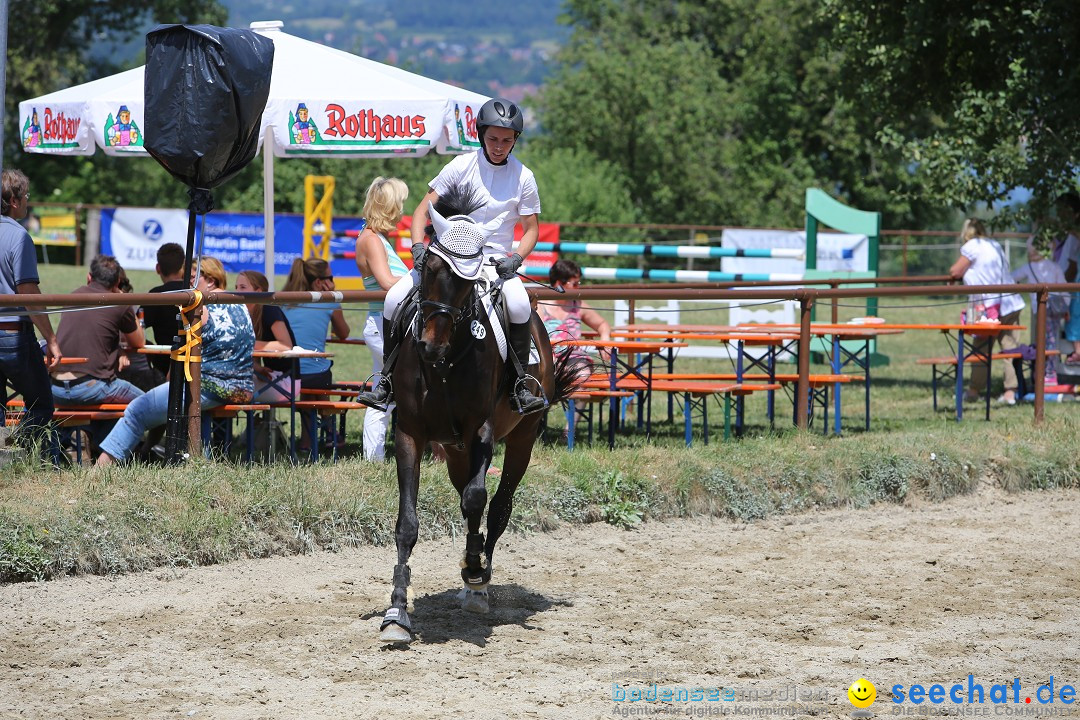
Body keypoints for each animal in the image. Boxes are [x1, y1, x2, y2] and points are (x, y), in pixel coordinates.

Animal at [378, 188, 583, 643]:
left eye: (468, 283)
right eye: (429, 267)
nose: (430, 346)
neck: (445, 364)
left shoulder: (482, 431)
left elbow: (477, 499)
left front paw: (474, 568)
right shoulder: (410, 434)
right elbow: (407, 523)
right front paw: (397, 612)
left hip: (521, 438)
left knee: (497, 504)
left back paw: (479, 579)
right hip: (453, 450)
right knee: (467, 496)